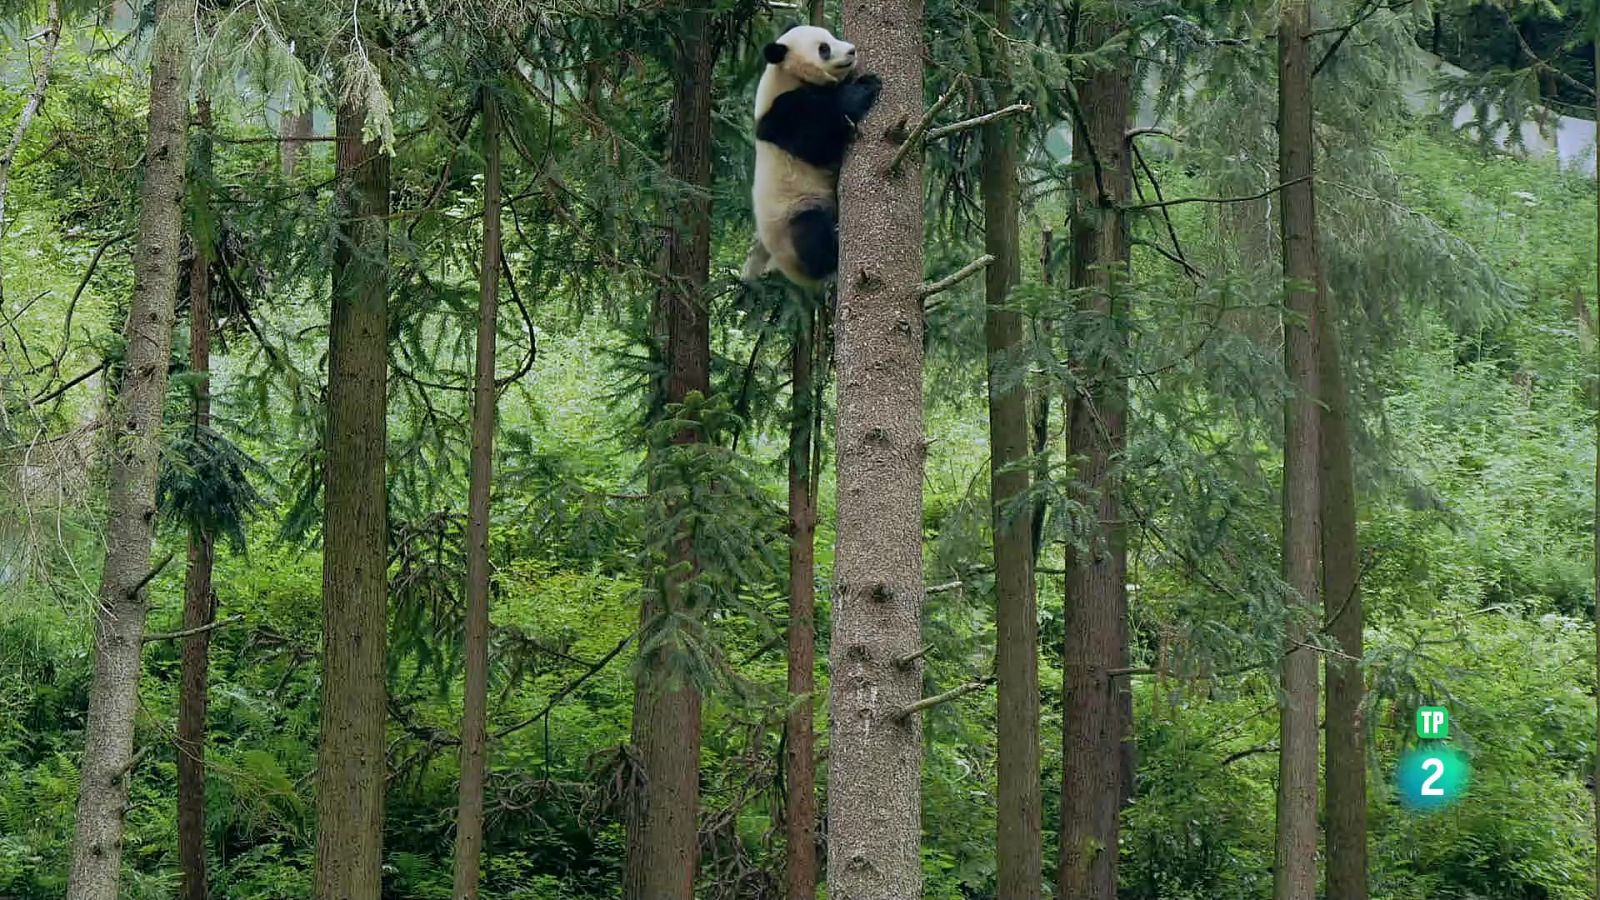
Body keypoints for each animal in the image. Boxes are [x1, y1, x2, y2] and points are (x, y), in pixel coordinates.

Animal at [739, 24, 883, 285]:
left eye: (832, 36)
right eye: (823, 49)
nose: (851, 50)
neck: (786, 76)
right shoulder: (782, 115)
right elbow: (818, 140)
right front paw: (864, 87)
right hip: (794, 214)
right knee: (810, 233)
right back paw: (832, 248)